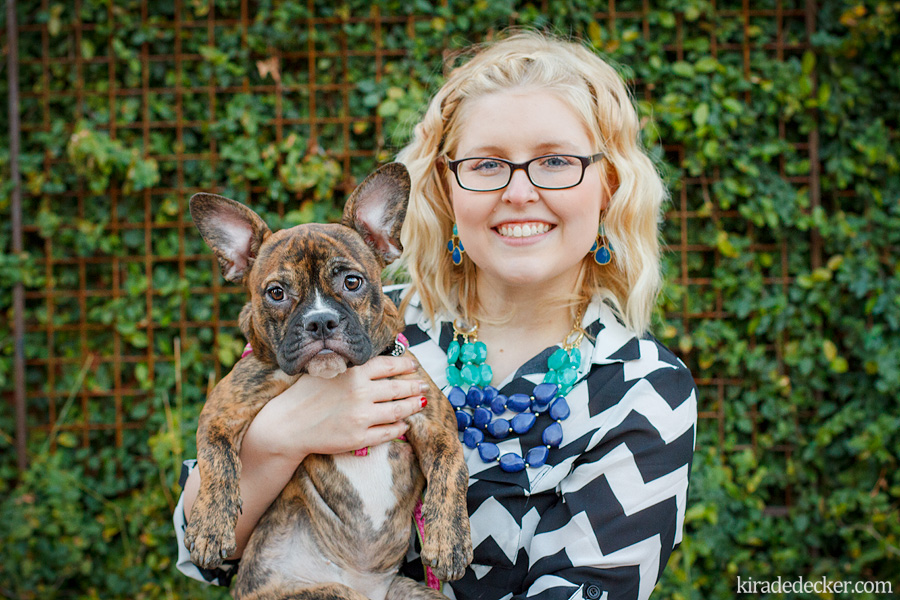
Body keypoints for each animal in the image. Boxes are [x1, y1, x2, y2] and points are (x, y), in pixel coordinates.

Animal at [186, 162, 474, 596]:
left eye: (352, 282)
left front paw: (451, 541)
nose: (320, 320)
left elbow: (452, 471)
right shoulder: (223, 410)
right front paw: (208, 525)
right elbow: (214, 462)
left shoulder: (434, 423)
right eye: (276, 293)